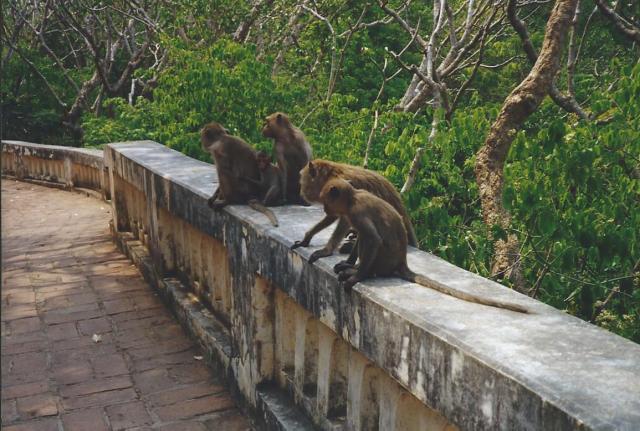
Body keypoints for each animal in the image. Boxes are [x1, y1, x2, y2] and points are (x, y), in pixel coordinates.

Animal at [320, 179, 529, 313]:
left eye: (326, 203)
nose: (325, 209)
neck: (353, 198)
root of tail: (401, 262)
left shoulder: (357, 211)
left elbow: (373, 239)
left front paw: (356, 276)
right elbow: (364, 237)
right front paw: (349, 263)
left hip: (382, 261)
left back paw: (361, 271)